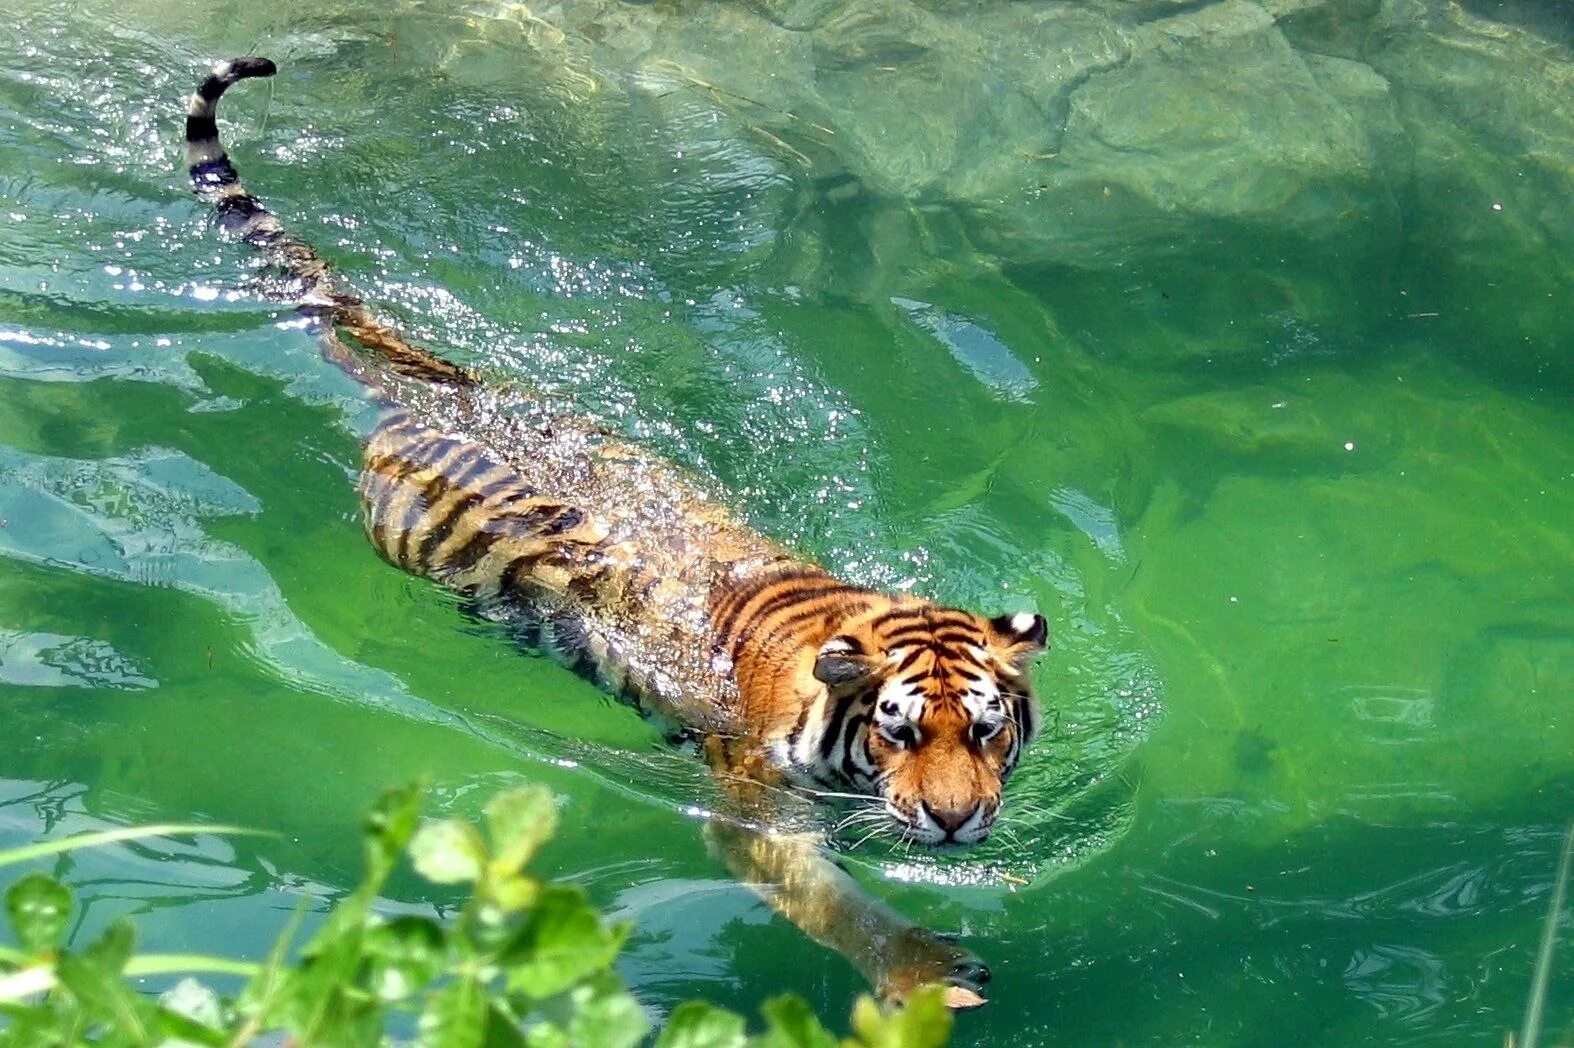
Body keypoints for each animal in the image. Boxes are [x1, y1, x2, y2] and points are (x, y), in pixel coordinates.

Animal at [187, 55, 1045, 1007]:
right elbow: (833, 904)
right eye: (899, 732)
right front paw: (926, 975)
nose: (955, 820)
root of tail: (447, 392)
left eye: (986, 730)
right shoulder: (755, 818)